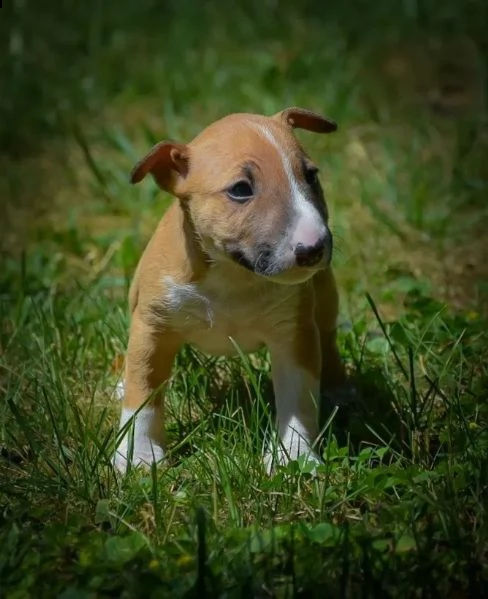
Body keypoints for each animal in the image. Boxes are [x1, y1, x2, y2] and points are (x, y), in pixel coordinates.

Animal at [115, 106, 346, 474]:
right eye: (240, 189)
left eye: (311, 176)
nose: (313, 248)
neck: (233, 274)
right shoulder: (152, 326)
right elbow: (143, 390)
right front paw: (140, 457)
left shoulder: (294, 332)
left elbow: (298, 397)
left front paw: (293, 457)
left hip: (325, 299)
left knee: (328, 335)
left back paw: (337, 388)